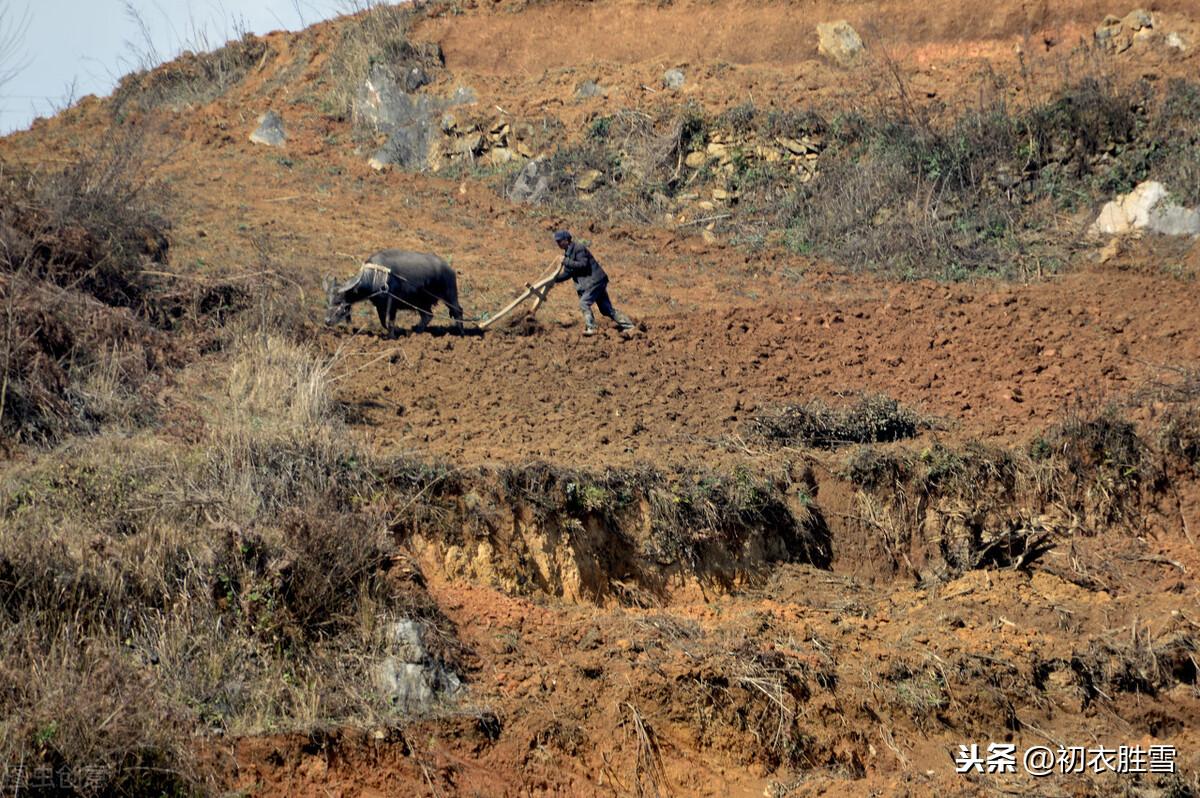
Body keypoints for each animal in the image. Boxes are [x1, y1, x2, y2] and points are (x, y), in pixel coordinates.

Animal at [324, 249, 463, 336]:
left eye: (338, 301)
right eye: (328, 301)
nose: (327, 321)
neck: (376, 276)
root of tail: (449, 269)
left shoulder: (392, 304)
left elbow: (389, 322)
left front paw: (393, 335)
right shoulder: (380, 305)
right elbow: (383, 322)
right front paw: (399, 331)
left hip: (449, 295)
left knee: (458, 311)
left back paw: (461, 334)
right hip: (420, 302)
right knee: (427, 316)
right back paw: (416, 332)